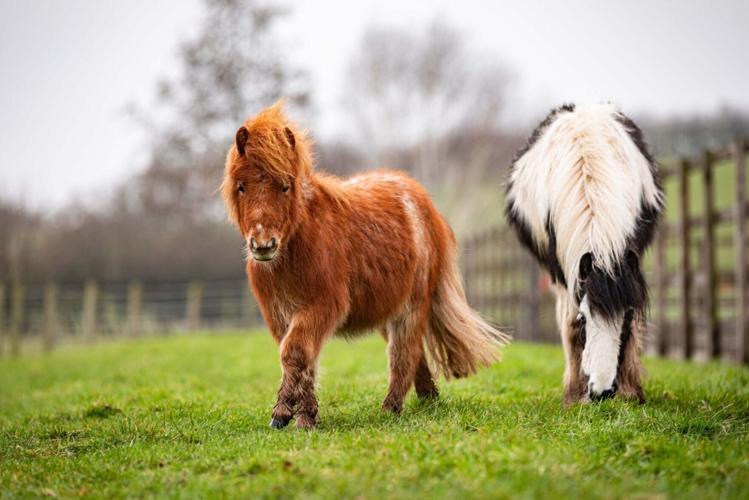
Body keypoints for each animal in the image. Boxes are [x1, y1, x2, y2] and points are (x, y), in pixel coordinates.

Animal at [222, 102, 508, 429]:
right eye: (241, 187)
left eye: (284, 187)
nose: (263, 245)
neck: (296, 248)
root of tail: (421, 199)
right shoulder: (280, 315)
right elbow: (304, 360)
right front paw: (302, 412)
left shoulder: (320, 307)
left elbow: (296, 353)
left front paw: (291, 415)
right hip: (387, 310)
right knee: (414, 355)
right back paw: (429, 399)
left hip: (412, 306)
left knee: (403, 353)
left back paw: (391, 408)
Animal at [505, 103, 663, 404]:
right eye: (584, 319)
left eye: (625, 318)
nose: (601, 392)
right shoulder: (564, 274)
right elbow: (568, 325)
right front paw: (574, 393)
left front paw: (631, 391)